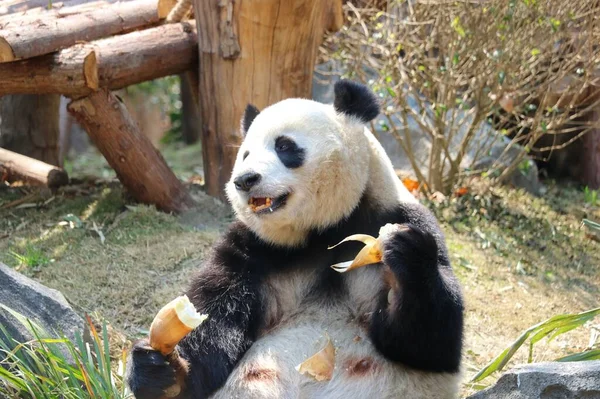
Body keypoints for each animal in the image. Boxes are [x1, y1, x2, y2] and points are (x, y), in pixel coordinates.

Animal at [125, 80, 464, 399]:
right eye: (245, 154)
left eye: (285, 146)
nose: (244, 180)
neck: (322, 231)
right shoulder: (254, 248)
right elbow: (215, 319)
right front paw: (164, 375)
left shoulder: (399, 215)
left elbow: (429, 345)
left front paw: (405, 252)